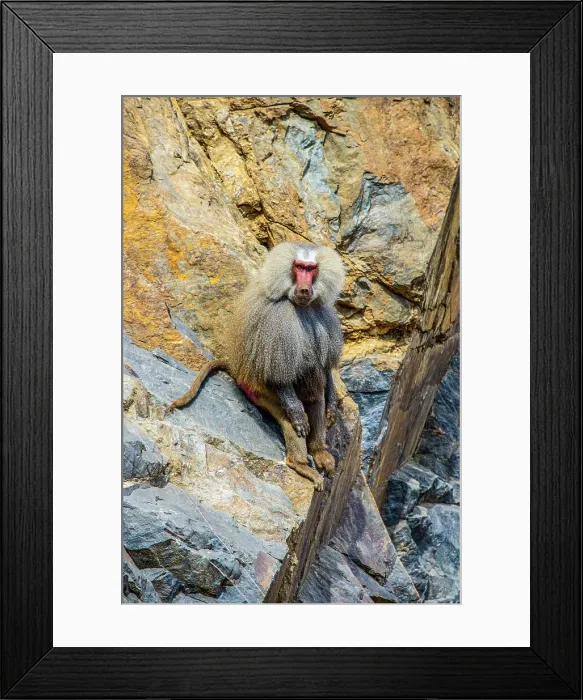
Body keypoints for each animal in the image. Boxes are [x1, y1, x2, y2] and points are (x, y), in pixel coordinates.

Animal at [165, 242, 345, 491]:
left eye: (311, 269)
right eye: (299, 267)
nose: (304, 289)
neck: (299, 305)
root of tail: (238, 371)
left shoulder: (323, 314)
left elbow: (325, 366)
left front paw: (332, 408)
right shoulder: (277, 320)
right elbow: (279, 374)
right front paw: (298, 415)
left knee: (315, 390)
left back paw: (319, 452)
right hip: (260, 392)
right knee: (295, 400)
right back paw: (299, 463)